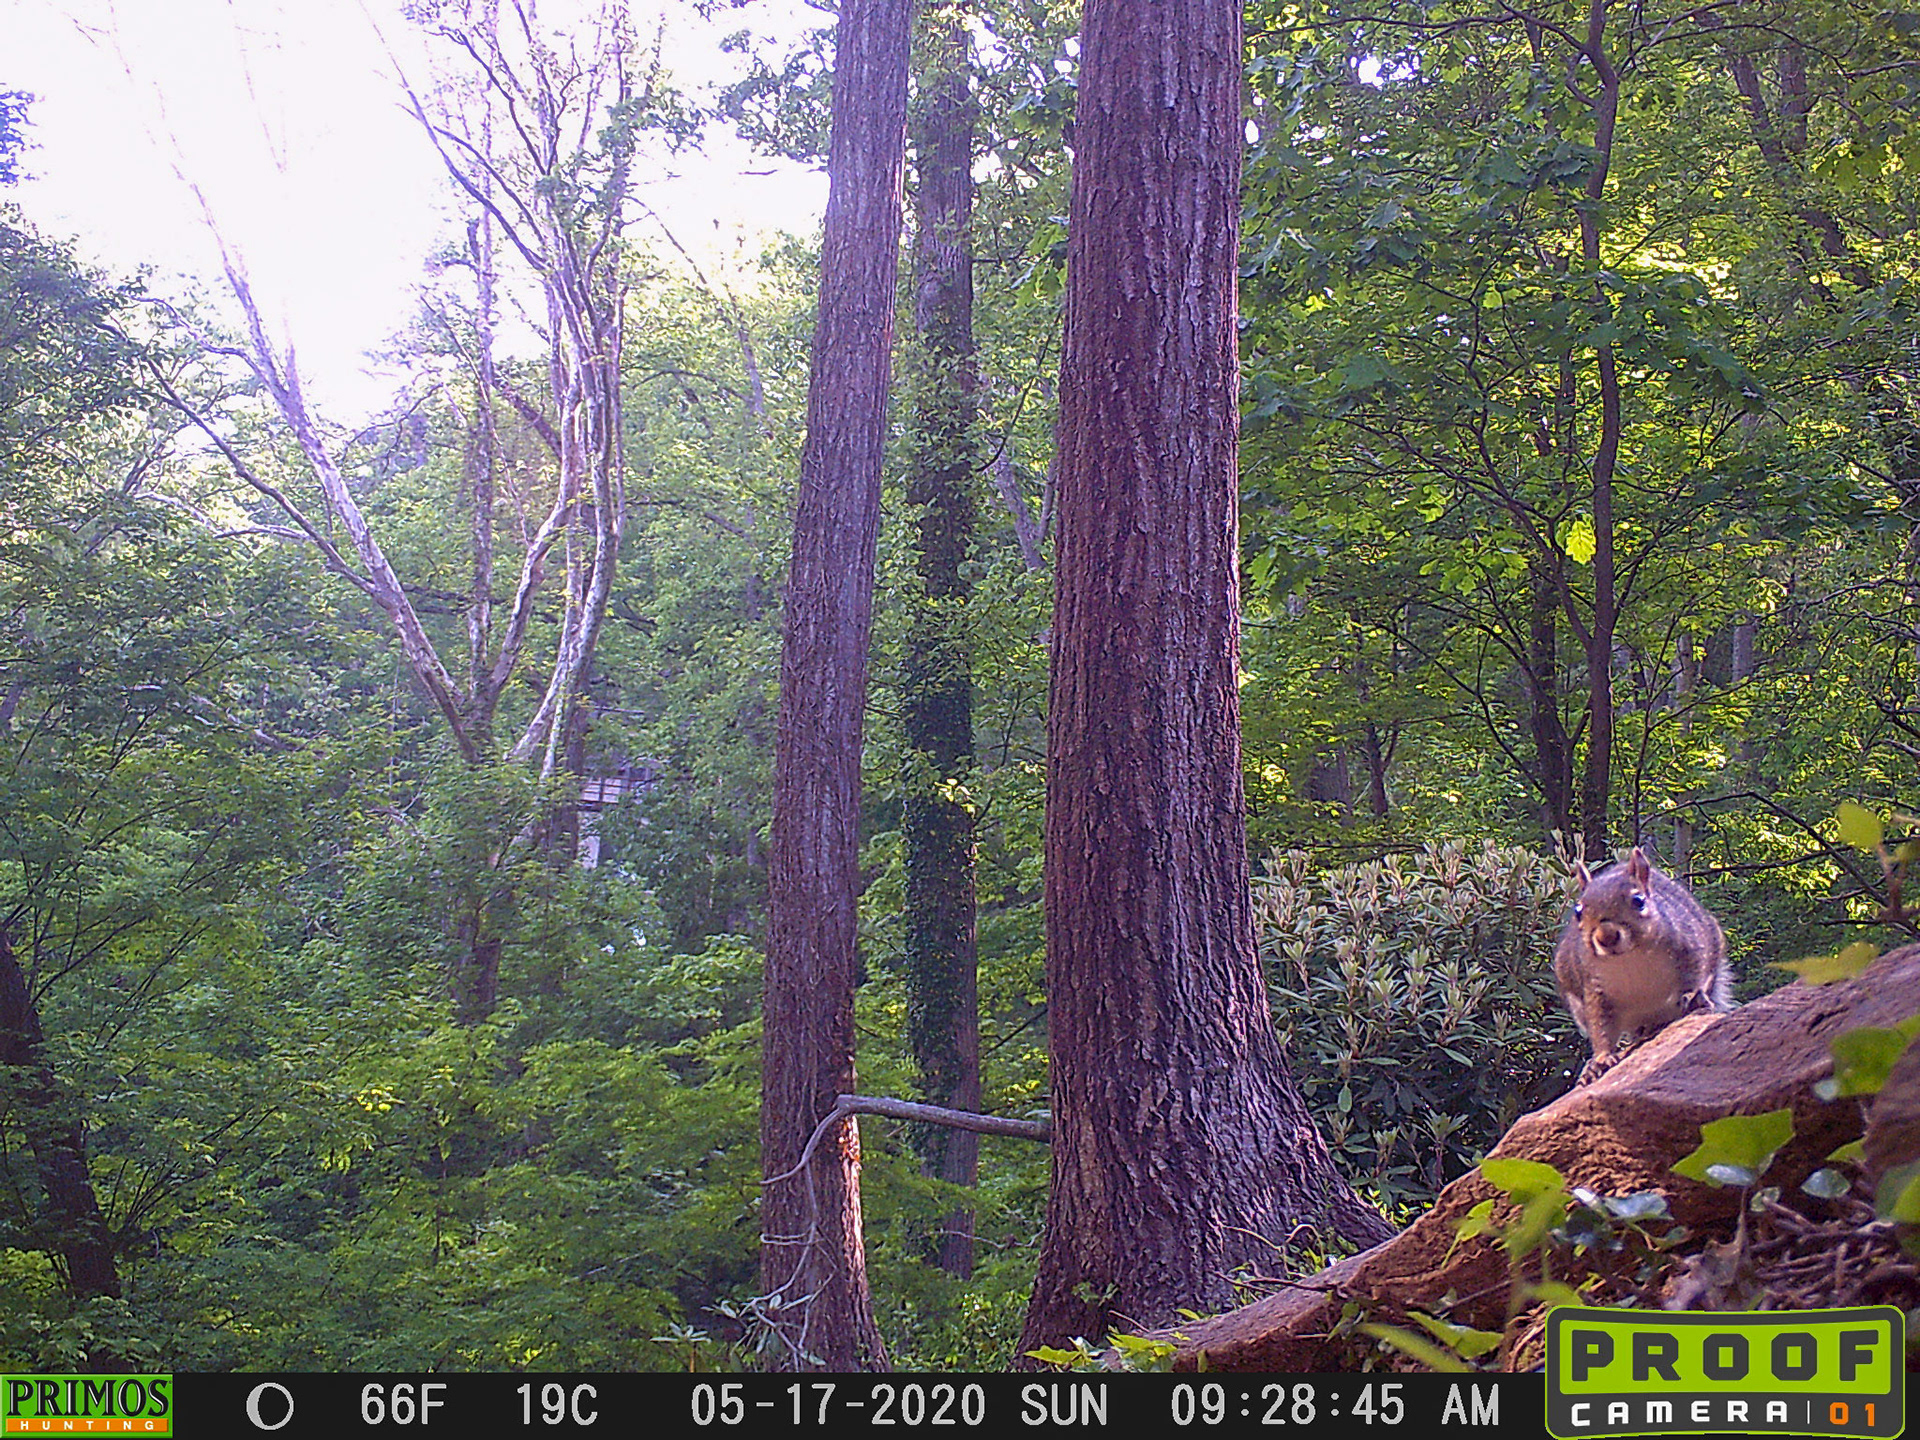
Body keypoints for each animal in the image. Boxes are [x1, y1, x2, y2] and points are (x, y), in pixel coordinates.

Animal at [1554, 846, 1731, 1083]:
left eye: (1639, 901)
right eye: (1578, 911)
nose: (1606, 937)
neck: (1628, 958)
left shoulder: (1690, 945)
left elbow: (1695, 972)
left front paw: (1693, 995)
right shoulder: (1593, 987)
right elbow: (1600, 1026)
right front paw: (1600, 1060)